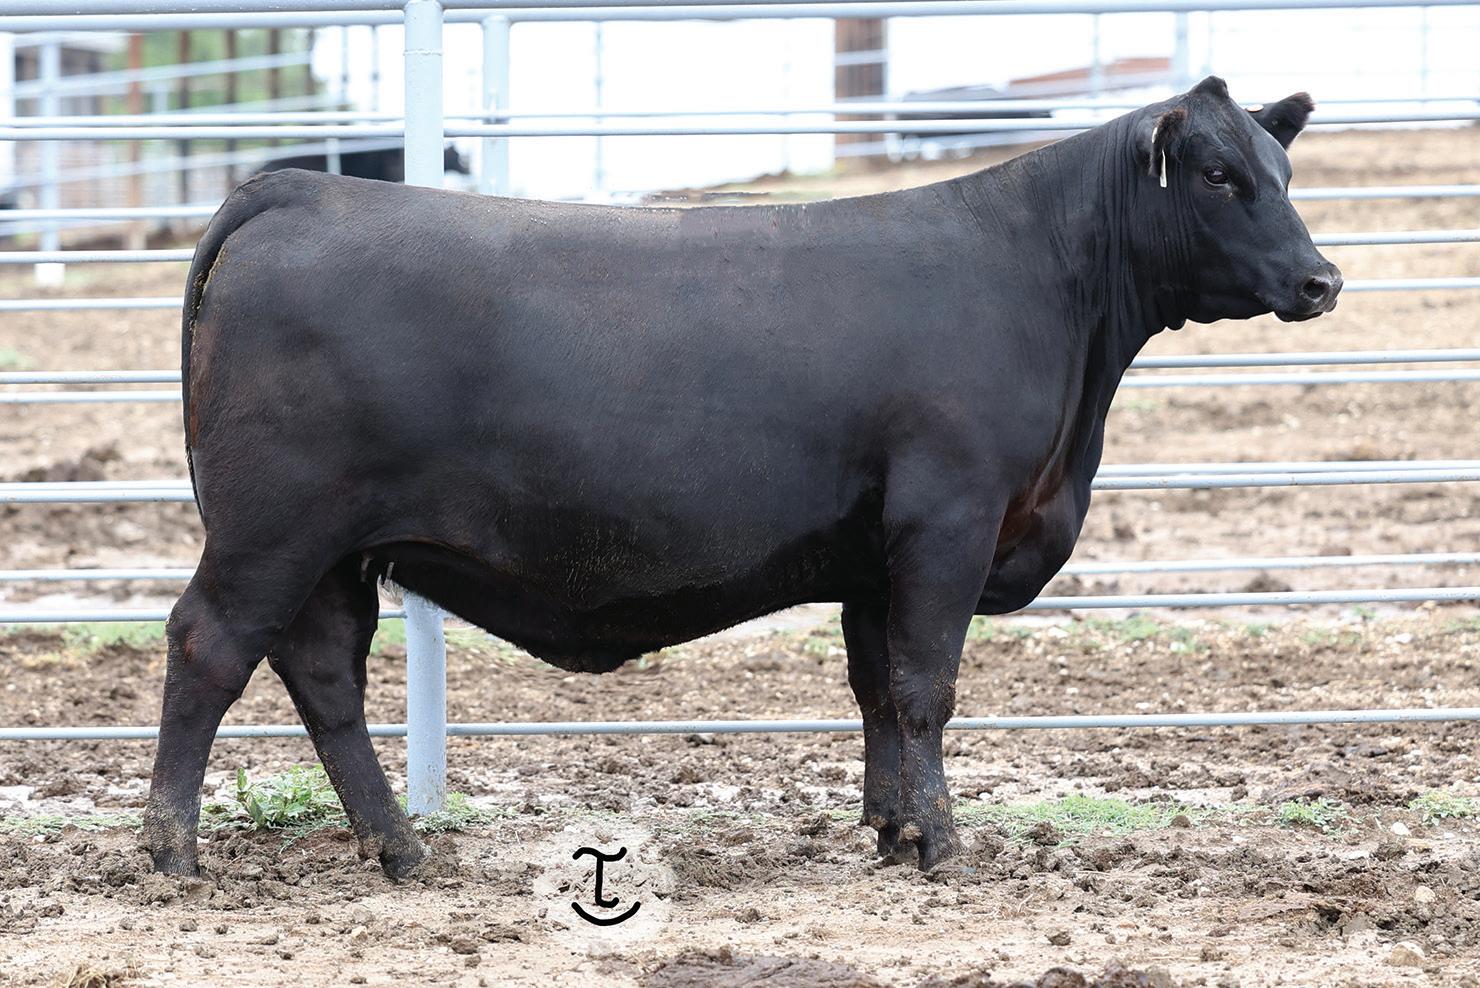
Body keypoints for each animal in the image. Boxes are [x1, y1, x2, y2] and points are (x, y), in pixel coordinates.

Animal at [144, 77, 1340, 881]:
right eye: (1221, 176)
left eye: (1282, 172)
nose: (1321, 280)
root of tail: (294, 192)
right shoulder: (947, 520)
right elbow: (927, 687)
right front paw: (945, 845)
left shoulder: (874, 554)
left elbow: (875, 688)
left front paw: (891, 830)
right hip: (274, 529)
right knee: (210, 645)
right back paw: (171, 850)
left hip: (335, 552)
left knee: (324, 676)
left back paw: (398, 850)